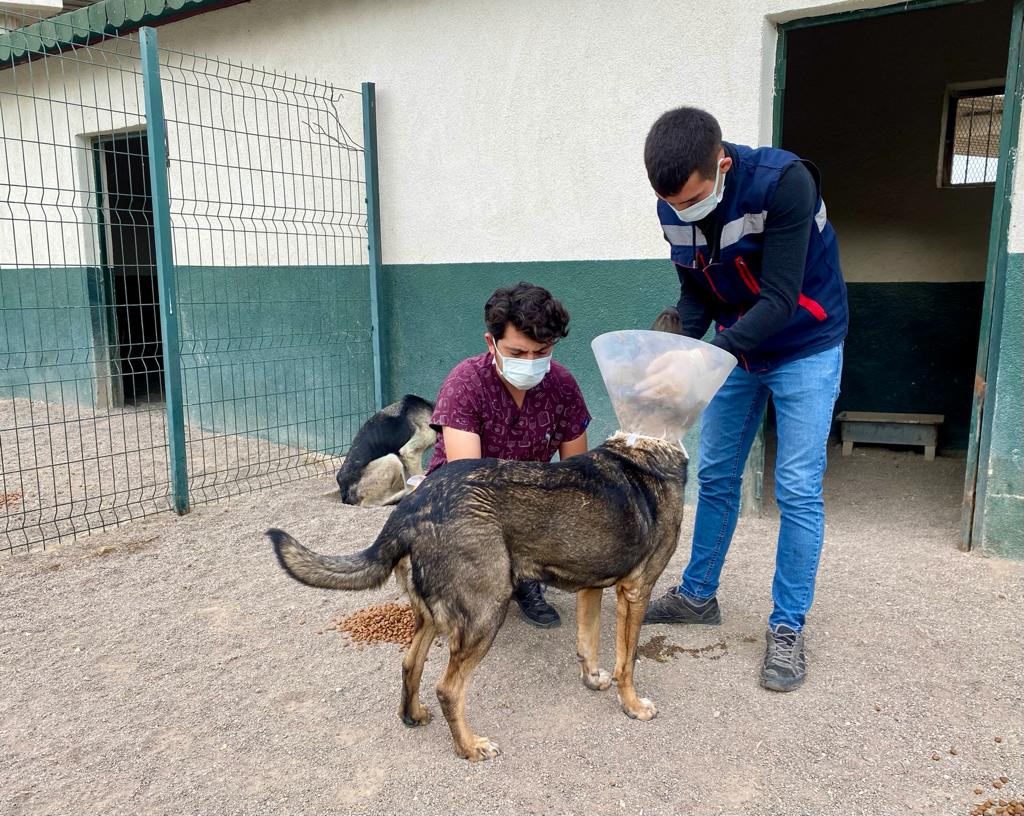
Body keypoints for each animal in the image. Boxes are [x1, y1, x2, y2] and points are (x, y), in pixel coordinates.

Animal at [270, 436, 688, 761]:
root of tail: (410, 509)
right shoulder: (636, 591)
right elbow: (627, 662)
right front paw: (632, 706)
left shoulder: (590, 587)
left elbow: (588, 644)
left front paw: (593, 680)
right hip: (486, 613)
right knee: (448, 689)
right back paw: (469, 747)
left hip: (433, 616)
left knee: (410, 664)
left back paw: (412, 715)